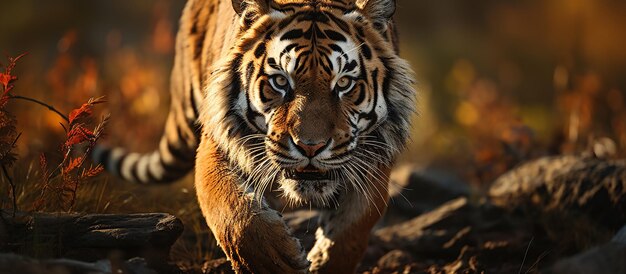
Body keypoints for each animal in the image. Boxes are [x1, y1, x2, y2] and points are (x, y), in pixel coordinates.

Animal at [92, 0, 414, 272]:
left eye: (344, 83)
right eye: (280, 81)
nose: (310, 147)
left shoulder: (374, 153)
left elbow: (353, 226)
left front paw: (325, 262)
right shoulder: (218, 140)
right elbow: (234, 213)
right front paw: (274, 261)